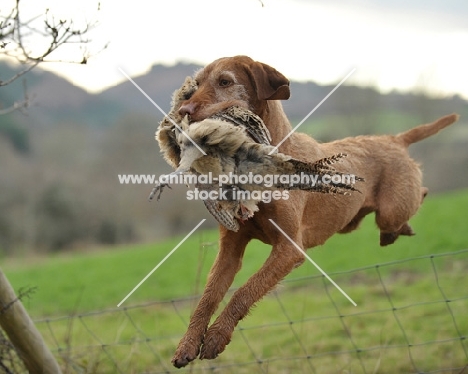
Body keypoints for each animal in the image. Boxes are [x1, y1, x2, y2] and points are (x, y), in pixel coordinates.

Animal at [170, 55, 458, 368]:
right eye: (196, 84)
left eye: (225, 81)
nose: (183, 111)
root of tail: (393, 139)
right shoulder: (230, 250)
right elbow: (208, 297)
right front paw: (188, 343)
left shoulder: (290, 248)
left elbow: (245, 292)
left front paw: (215, 337)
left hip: (392, 210)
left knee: (417, 198)